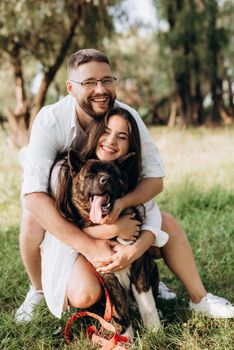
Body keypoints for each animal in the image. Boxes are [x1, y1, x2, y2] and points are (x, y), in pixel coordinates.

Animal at [54, 149, 161, 338]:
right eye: (91, 174)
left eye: (112, 173)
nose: (105, 180)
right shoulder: (108, 277)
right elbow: (118, 310)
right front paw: (124, 338)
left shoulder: (140, 265)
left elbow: (147, 303)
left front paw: (155, 330)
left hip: (153, 268)